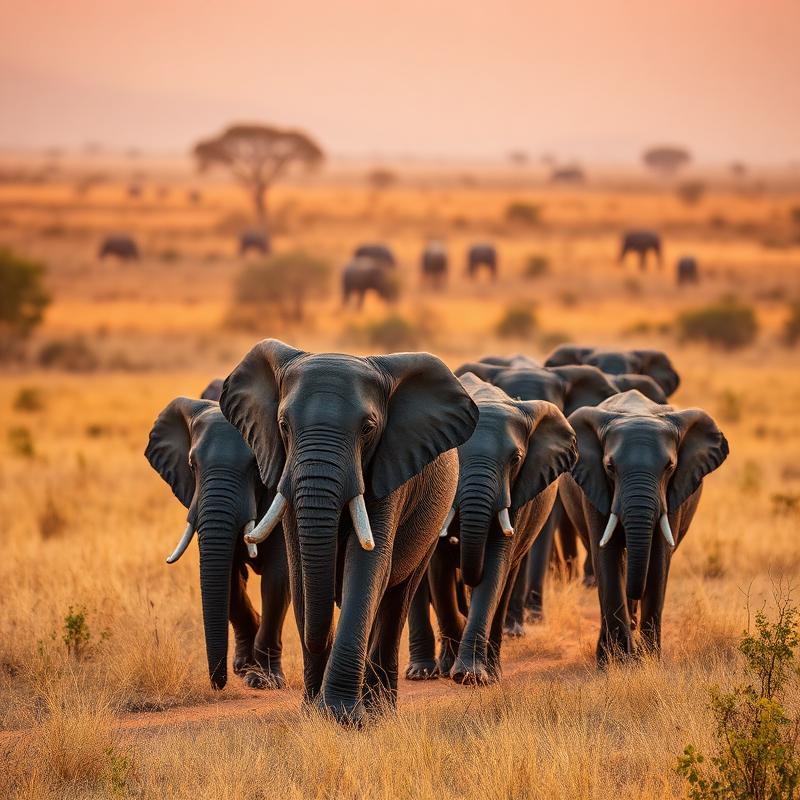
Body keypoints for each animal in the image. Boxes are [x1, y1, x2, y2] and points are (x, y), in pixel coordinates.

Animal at [145, 397, 290, 690]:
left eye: (256, 466)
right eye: (192, 466)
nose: (218, 682)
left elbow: (277, 578)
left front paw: (262, 681)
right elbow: (231, 578)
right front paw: (243, 668)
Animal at [219, 339, 478, 724]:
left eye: (368, 428)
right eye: (283, 425)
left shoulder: (391, 468)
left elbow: (369, 566)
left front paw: (343, 717)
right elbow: (300, 575)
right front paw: (314, 713)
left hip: (433, 524)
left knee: (396, 598)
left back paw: (381, 710)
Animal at [405, 372, 576, 685]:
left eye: (516, 459)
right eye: (454, 452)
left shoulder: (518, 490)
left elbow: (496, 563)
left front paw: (470, 676)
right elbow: (439, 569)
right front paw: (453, 667)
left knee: (506, 581)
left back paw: (492, 671)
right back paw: (425, 672)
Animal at [560, 390, 728, 665]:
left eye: (670, 467)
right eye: (610, 467)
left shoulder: (673, 491)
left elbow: (658, 559)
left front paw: (648, 659)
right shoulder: (595, 486)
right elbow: (607, 556)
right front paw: (617, 662)